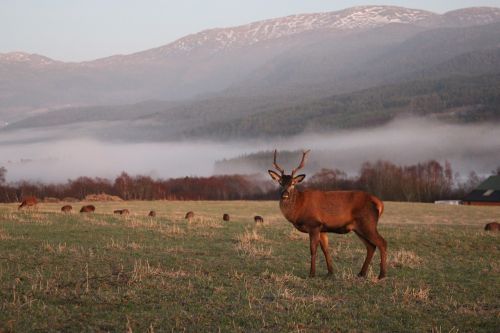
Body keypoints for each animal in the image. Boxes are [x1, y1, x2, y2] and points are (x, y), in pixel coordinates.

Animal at [268, 150, 388, 278]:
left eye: (293, 183)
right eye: (280, 182)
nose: (284, 195)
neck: (299, 208)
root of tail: (379, 203)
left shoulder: (314, 224)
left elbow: (313, 249)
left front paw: (312, 273)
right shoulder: (323, 228)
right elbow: (325, 249)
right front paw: (330, 272)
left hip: (368, 223)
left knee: (382, 243)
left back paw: (382, 274)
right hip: (359, 228)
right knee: (371, 246)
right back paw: (361, 273)